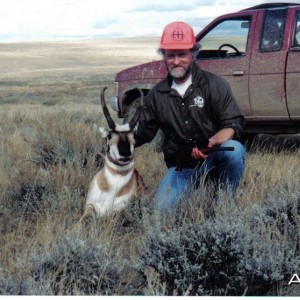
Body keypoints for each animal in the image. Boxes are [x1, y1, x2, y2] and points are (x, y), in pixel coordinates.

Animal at [79, 86, 145, 223]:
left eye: (133, 136)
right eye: (109, 136)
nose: (125, 154)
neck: (113, 188)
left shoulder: (117, 212)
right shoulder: (90, 206)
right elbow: (81, 221)